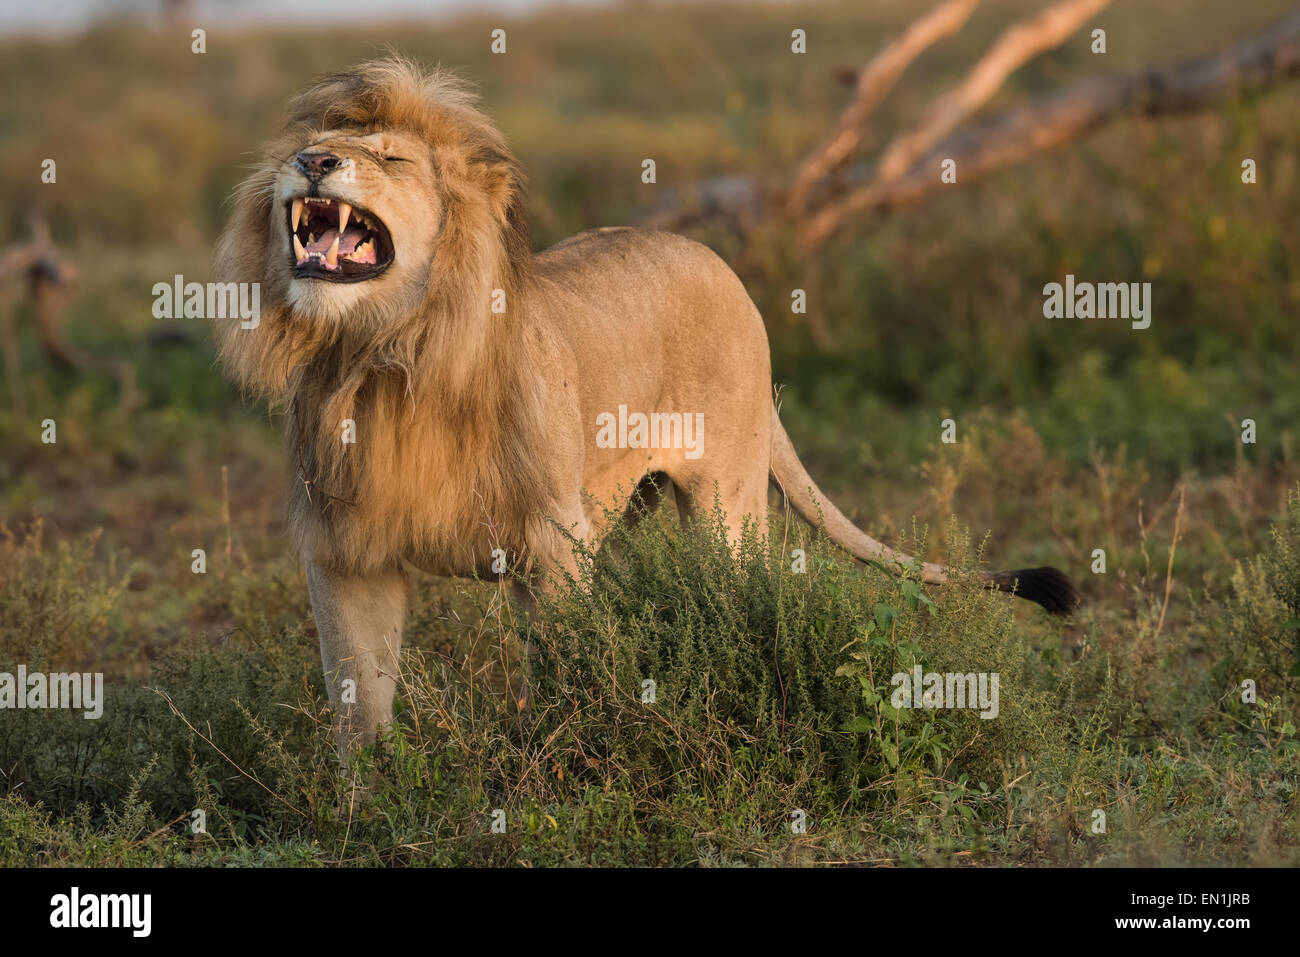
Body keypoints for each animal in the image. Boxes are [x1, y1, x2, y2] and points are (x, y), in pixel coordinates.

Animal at [218, 57, 1081, 754]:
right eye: (313, 145)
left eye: (391, 157)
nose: (312, 161)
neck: (387, 355)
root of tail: (721, 265)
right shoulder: (348, 551)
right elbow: (358, 699)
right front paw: (368, 803)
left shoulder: (550, 545)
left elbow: (558, 674)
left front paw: (553, 766)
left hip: (725, 508)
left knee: (744, 592)